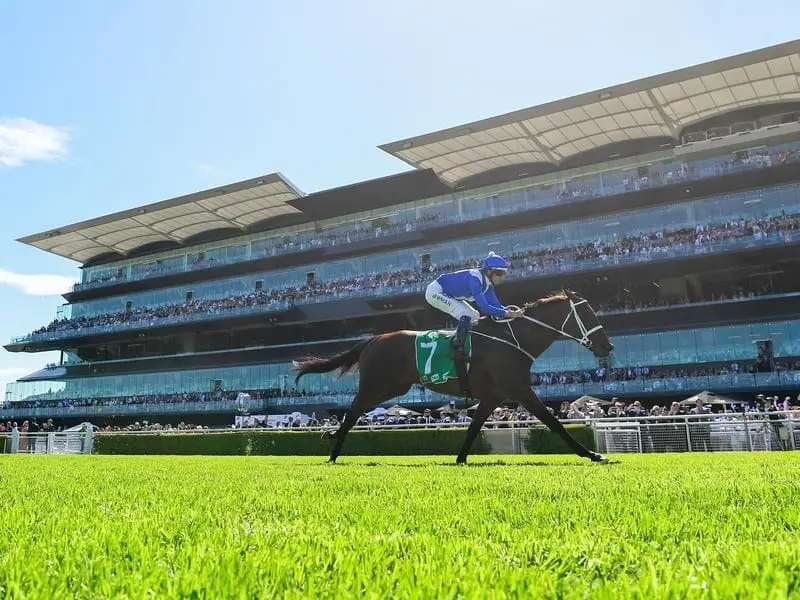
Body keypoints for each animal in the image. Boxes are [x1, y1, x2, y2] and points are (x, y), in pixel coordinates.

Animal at [294, 290, 612, 464]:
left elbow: (473, 428)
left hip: (393, 388)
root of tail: (372, 340)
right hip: (378, 386)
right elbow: (553, 422)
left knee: (356, 411)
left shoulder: (493, 396)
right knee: (352, 411)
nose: (607, 346)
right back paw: (333, 450)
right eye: (588, 314)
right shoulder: (520, 389)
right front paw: (592, 454)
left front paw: (460, 458)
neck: (512, 340)